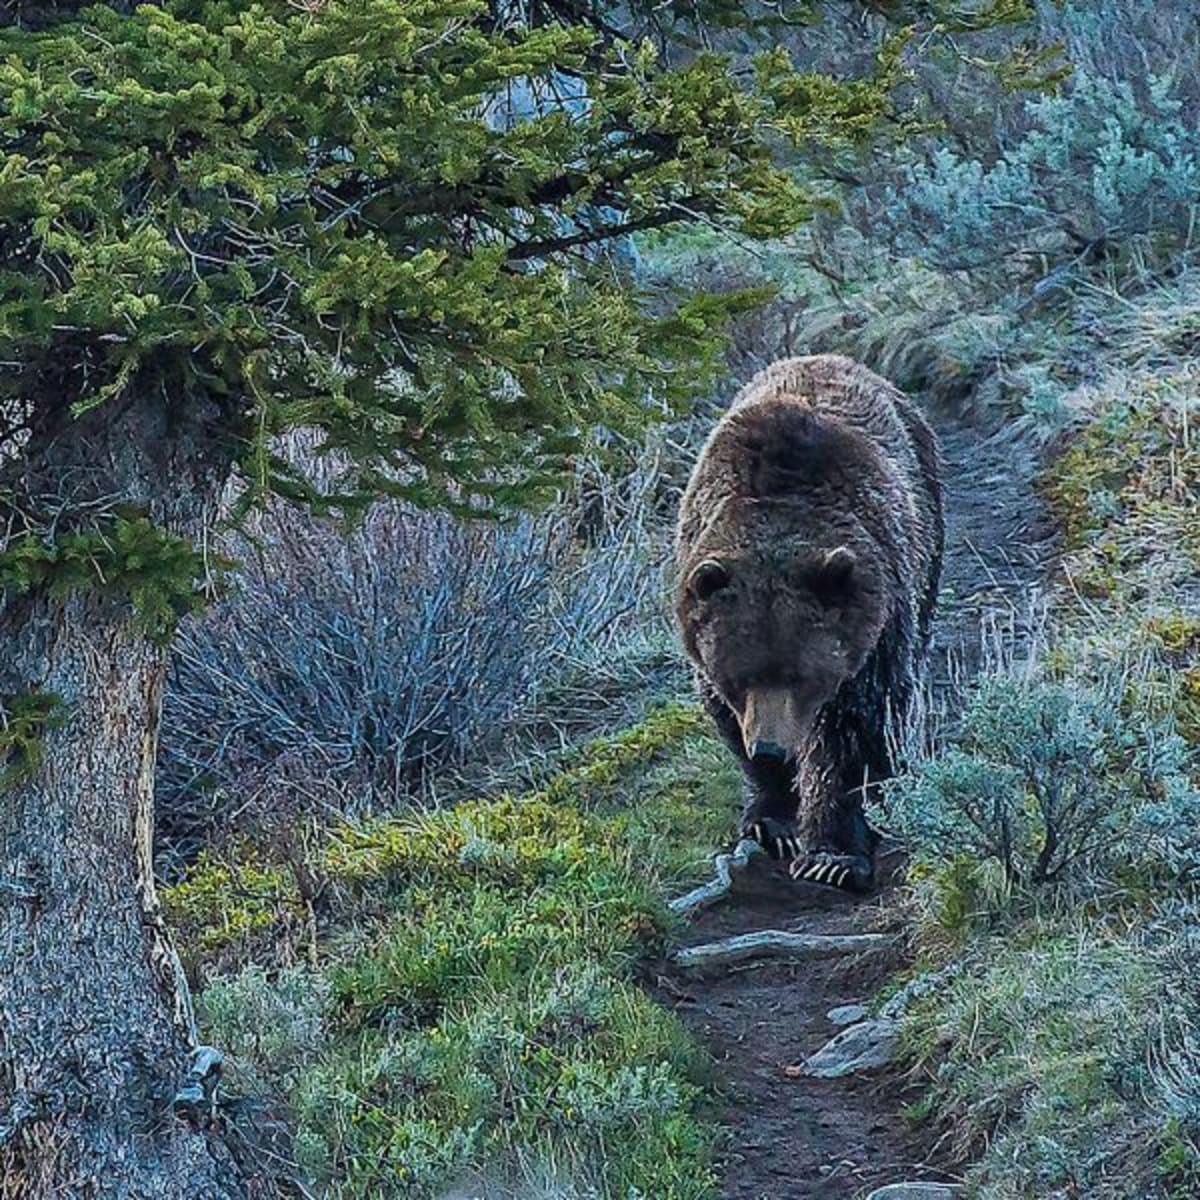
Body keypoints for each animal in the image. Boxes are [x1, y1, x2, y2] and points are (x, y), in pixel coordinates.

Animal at [673, 354, 944, 892]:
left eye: (801, 676)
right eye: (740, 678)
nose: (770, 749)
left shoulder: (871, 628)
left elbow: (853, 729)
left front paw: (832, 856)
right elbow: (725, 720)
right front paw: (772, 819)